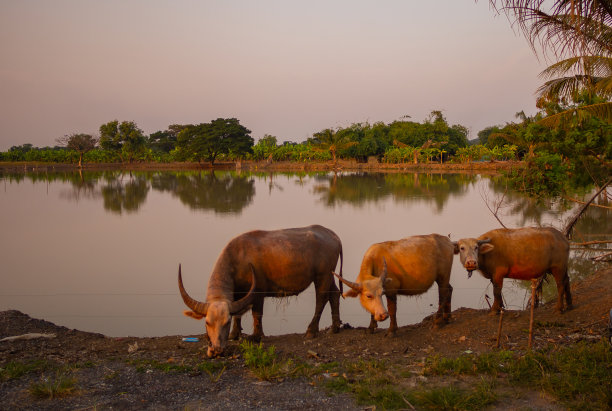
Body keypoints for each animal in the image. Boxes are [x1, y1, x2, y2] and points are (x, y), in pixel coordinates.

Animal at [177, 225, 344, 358]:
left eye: (226, 322)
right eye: (207, 322)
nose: (217, 349)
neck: (237, 259)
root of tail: (332, 235)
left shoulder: (258, 291)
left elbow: (256, 313)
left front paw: (256, 336)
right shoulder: (238, 295)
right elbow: (238, 314)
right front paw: (234, 334)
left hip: (322, 276)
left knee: (321, 299)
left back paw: (311, 331)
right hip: (330, 275)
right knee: (334, 295)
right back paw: (334, 328)